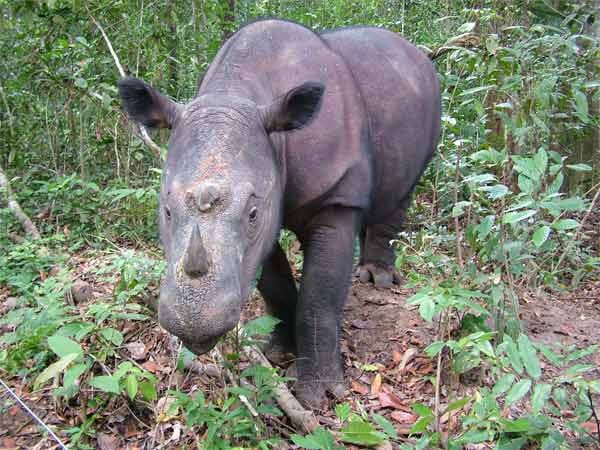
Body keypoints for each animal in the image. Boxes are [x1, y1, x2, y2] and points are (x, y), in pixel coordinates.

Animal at [119, 20, 442, 408]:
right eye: (166, 210)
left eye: (252, 213)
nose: (193, 323)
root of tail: (415, 53)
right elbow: (274, 285)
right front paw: (276, 352)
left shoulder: (335, 196)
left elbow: (318, 298)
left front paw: (318, 394)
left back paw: (376, 279)